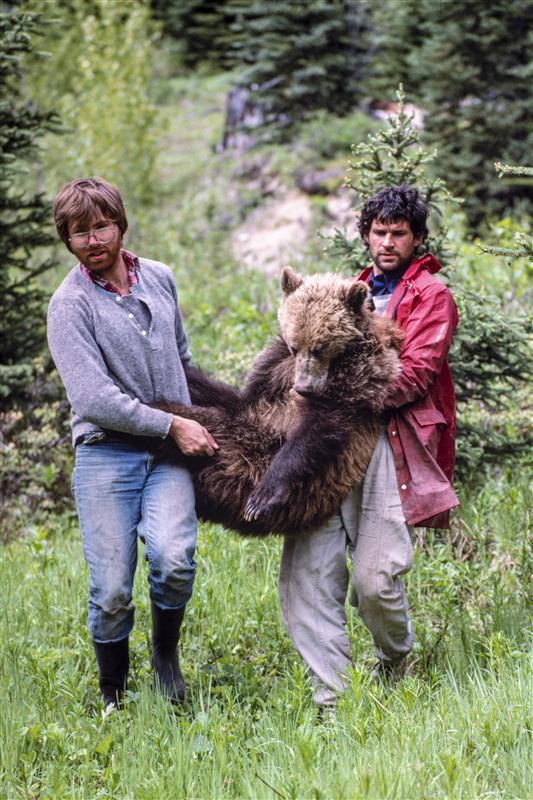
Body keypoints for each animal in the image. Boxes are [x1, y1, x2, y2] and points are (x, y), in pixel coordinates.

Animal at [166, 268, 400, 536]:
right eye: (294, 346)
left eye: (319, 347)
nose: (303, 388)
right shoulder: (274, 367)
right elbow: (243, 397)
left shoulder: (358, 377)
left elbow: (319, 429)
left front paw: (261, 498)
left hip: (242, 459)